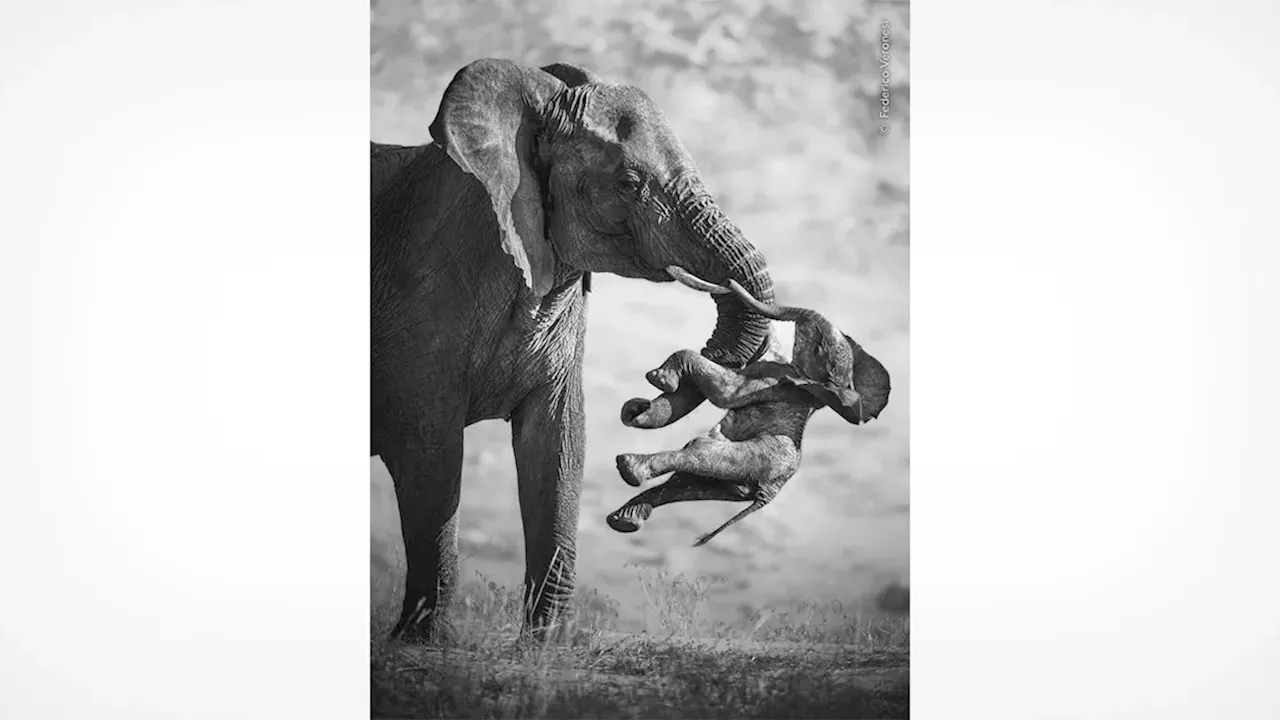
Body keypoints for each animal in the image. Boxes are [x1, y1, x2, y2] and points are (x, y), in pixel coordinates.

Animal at [371, 59, 777, 642]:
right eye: (628, 184)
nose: (645, 394)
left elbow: (559, 446)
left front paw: (546, 647)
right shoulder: (418, 305)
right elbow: (432, 457)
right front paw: (423, 645)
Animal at [609, 274, 891, 546]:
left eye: (818, 347)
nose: (728, 283)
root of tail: (767, 494)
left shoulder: (773, 381)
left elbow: (724, 393)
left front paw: (659, 379)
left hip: (753, 459)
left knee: (699, 452)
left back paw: (629, 469)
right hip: (732, 482)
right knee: (684, 484)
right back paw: (624, 519)